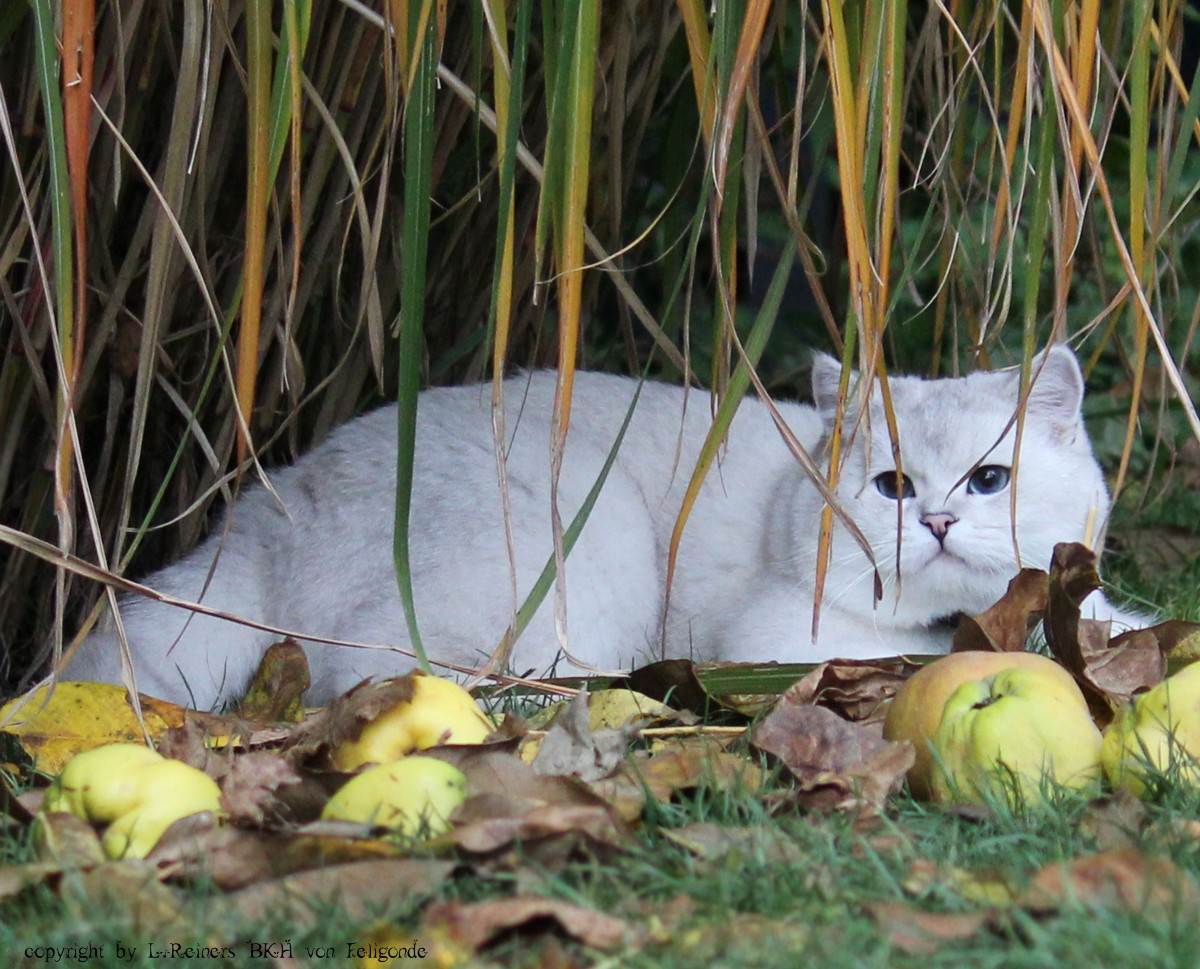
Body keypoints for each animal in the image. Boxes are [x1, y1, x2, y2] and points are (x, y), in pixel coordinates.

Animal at [64, 346, 1146, 708]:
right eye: (889, 485)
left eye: (991, 479)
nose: (936, 518)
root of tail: (274, 500)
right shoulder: (780, 637)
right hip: (578, 545)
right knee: (389, 678)